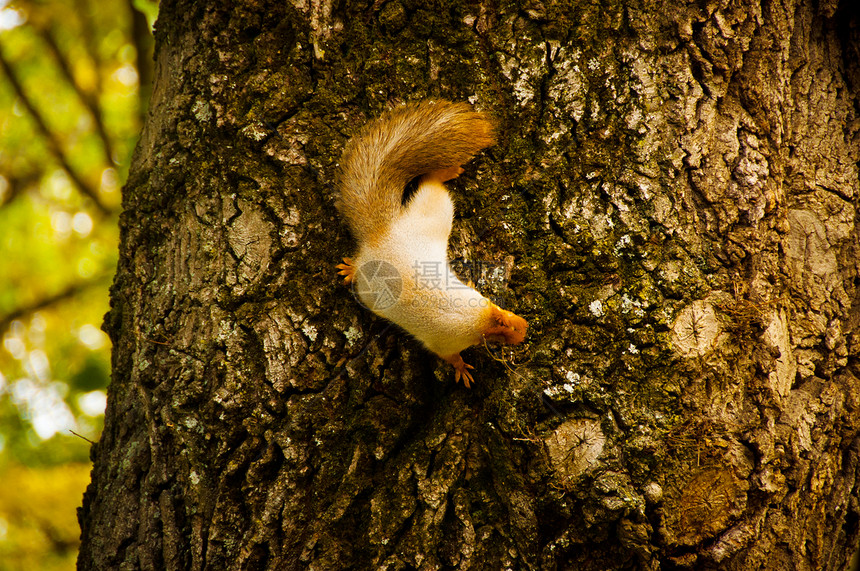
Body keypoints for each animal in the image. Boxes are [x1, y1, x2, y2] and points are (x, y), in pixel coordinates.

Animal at [334, 101, 524, 388]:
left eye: (508, 315)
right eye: (508, 332)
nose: (526, 329)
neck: (477, 319)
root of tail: (382, 233)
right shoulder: (446, 342)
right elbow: (450, 357)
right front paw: (461, 368)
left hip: (430, 215)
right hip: (431, 219)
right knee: (431, 183)